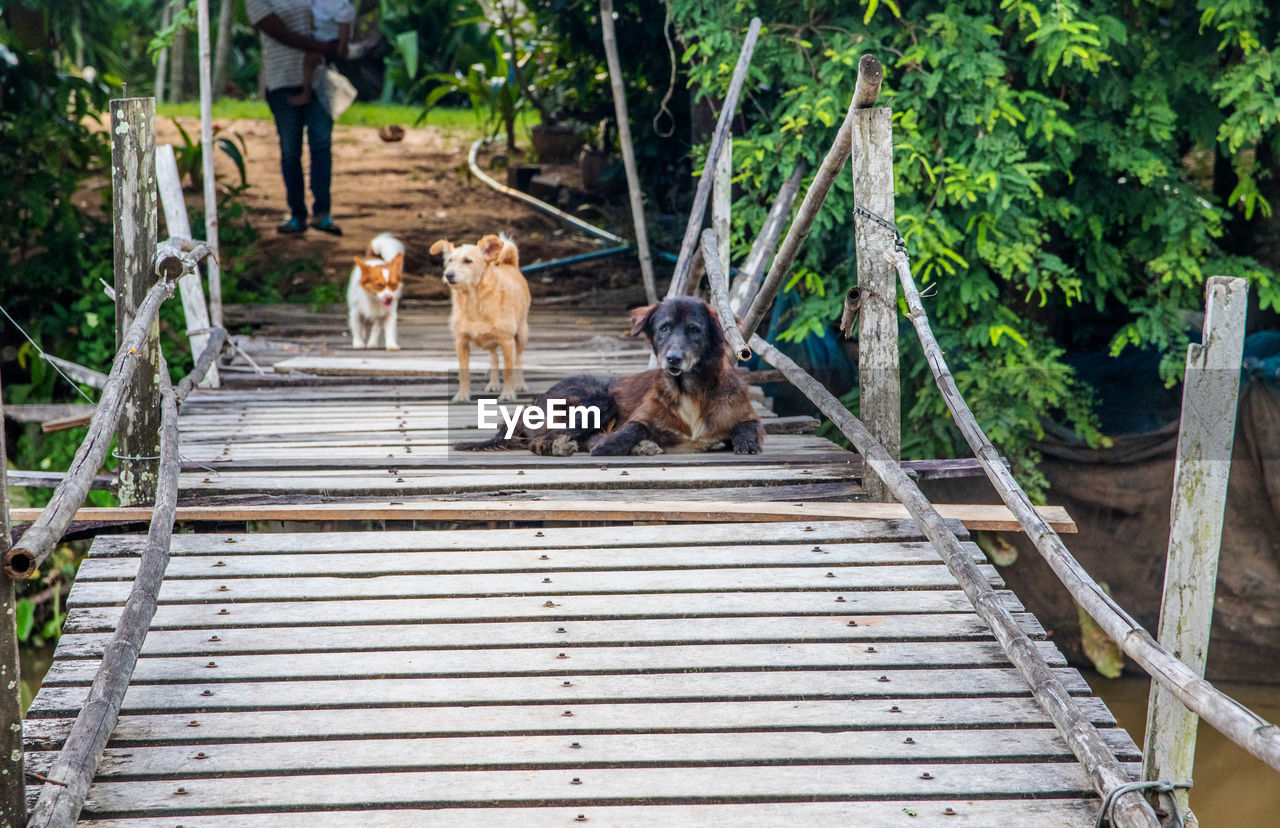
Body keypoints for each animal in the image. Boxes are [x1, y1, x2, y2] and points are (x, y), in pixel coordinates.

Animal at [430, 235, 529, 404]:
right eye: (449, 261)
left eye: (467, 261)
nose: (448, 275)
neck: (474, 301)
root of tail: (509, 264)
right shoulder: (461, 342)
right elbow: (464, 372)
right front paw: (462, 394)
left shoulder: (507, 342)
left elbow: (508, 371)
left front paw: (508, 393)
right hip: (491, 342)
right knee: (494, 358)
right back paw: (493, 384)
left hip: (521, 333)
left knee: (519, 359)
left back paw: (520, 384)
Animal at [458, 296, 762, 455]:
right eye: (664, 328)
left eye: (695, 330)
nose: (673, 358)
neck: (689, 390)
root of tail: (527, 407)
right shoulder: (640, 417)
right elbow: (631, 428)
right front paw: (612, 444)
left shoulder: (748, 417)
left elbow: (746, 427)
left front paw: (747, 443)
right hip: (601, 401)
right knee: (541, 441)